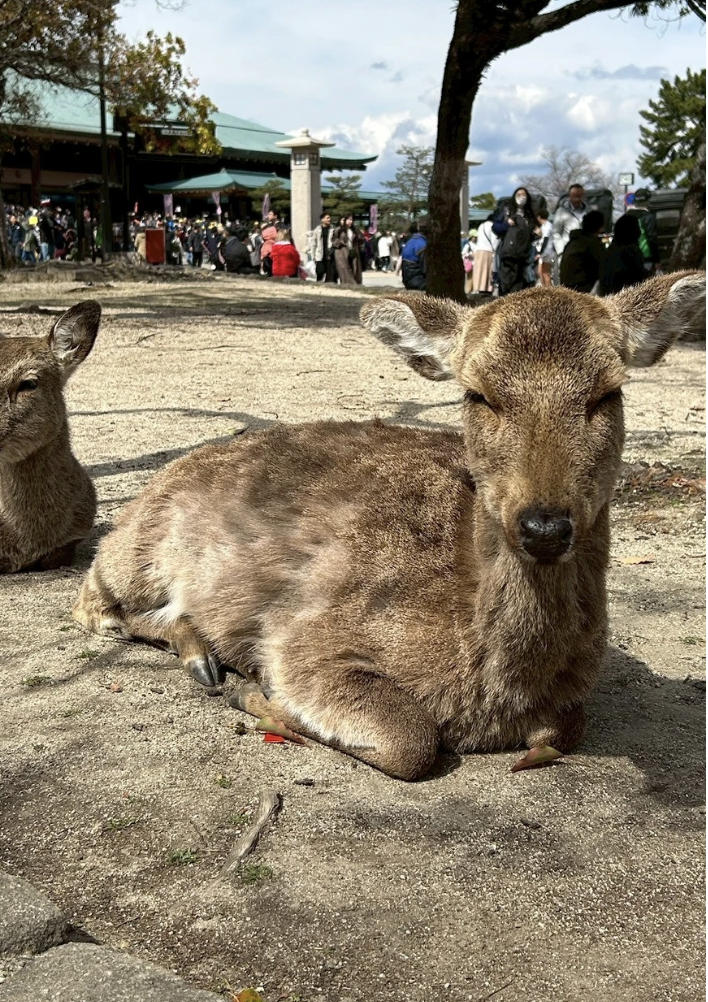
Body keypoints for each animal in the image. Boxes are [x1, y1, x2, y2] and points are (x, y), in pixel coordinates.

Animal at [72, 274, 704, 780]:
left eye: (609, 392)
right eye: (477, 393)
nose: (544, 526)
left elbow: (564, 729)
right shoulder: (304, 637)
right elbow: (412, 741)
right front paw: (258, 693)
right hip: (131, 553)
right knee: (94, 605)